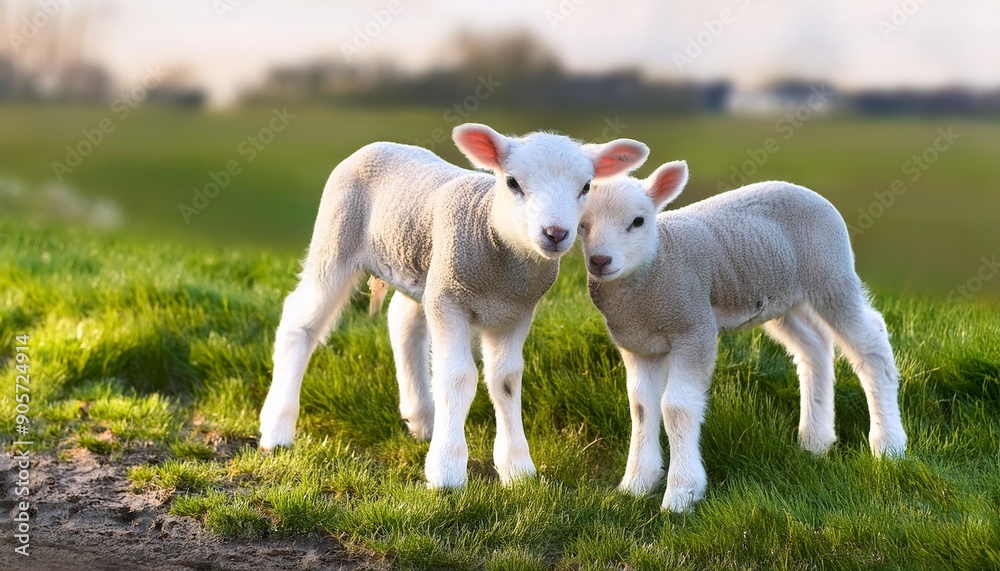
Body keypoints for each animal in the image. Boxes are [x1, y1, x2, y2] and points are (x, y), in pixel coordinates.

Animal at [258, 123, 650, 489]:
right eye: (512, 182)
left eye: (586, 187)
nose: (555, 234)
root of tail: (380, 144)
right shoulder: (450, 300)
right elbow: (457, 377)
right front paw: (446, 471)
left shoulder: (515, 312)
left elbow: (506, 380)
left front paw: (517, 469)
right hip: (337, 239)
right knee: (300, 319)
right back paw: (277, 428)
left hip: (420, 265)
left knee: (402, 320)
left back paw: (422, 418)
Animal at [579, 161, 908, 512]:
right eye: (582, 224)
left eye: (638, 221)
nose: (600, 261)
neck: (656, 264)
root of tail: (807, 191)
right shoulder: (638, 346)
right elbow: (641, 406)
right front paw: (637, 483)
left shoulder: (694, 329)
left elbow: (677, 407)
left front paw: (681, 493)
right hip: (783, 298)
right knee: (815, 346)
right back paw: (815, 439)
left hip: (830, 274)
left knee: (872, 344)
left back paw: (888, 444)